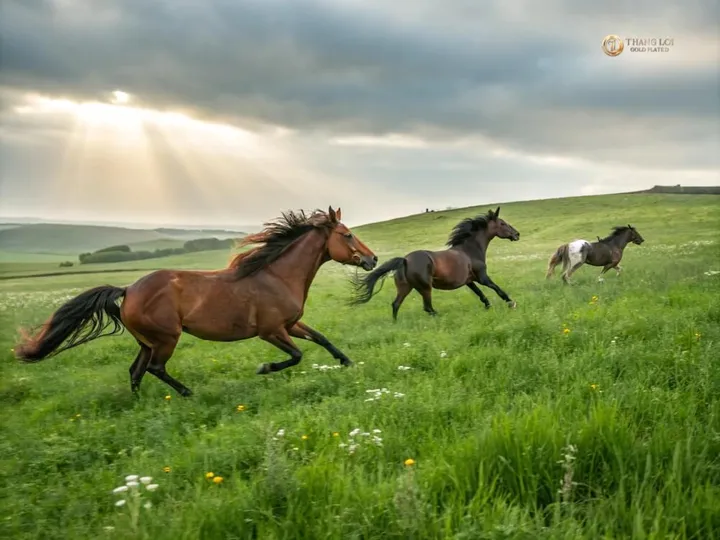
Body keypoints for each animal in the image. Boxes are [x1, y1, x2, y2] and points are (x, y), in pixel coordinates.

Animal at [15, 208, 376, 396]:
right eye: (346, 235)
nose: (372, 259)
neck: (276, 275)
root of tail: (128, 289)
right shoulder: (272, 330)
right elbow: (297, 355)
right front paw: (264, 368)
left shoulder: (291, 324)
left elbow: (322, 338)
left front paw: (348, 363)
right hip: (166, 338)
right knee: (155, 368)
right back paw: (188, 394)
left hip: (147, 342)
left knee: (136, 371)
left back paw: (138, 404)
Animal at [348, 206, 516, 316]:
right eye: (502, 223)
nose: (517, 234)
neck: (470, 250)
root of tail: (405, 260)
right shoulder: (482, 277)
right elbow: (497, 288)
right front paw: (511, 303)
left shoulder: (469, 281)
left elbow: (480, 294)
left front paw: (488, 306)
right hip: (425, 287)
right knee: (427, 307)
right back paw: (439, 317)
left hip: (406, 287)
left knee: (396, 304)